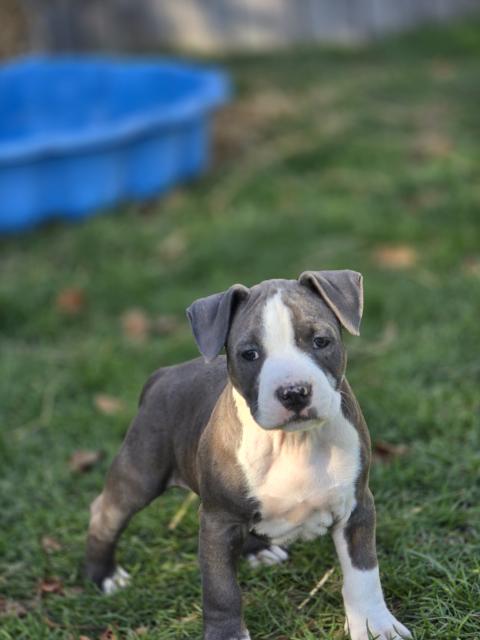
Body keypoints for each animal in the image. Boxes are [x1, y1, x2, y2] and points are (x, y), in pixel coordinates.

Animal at [85, 270, 412, 640]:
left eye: (320, 341)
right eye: (250, 354)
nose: (294, 392)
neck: (293, 442)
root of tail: (165, 373)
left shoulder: (357, 507)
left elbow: (364, 574)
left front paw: (375, 626)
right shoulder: (217, 521)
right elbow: (221, 590)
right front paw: (227, 634)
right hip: (141, 471)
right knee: (105, 512)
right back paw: (104, 576)